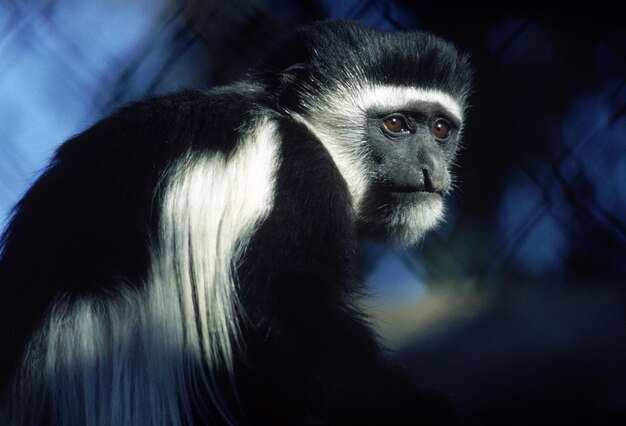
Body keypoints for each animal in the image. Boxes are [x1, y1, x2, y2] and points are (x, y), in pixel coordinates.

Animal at [0, 20, 468, 426]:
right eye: (396, 124)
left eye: (441, 130)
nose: (431, 169)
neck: (292, 120)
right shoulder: (297, 172)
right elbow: (290, 319)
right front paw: (425, 409)